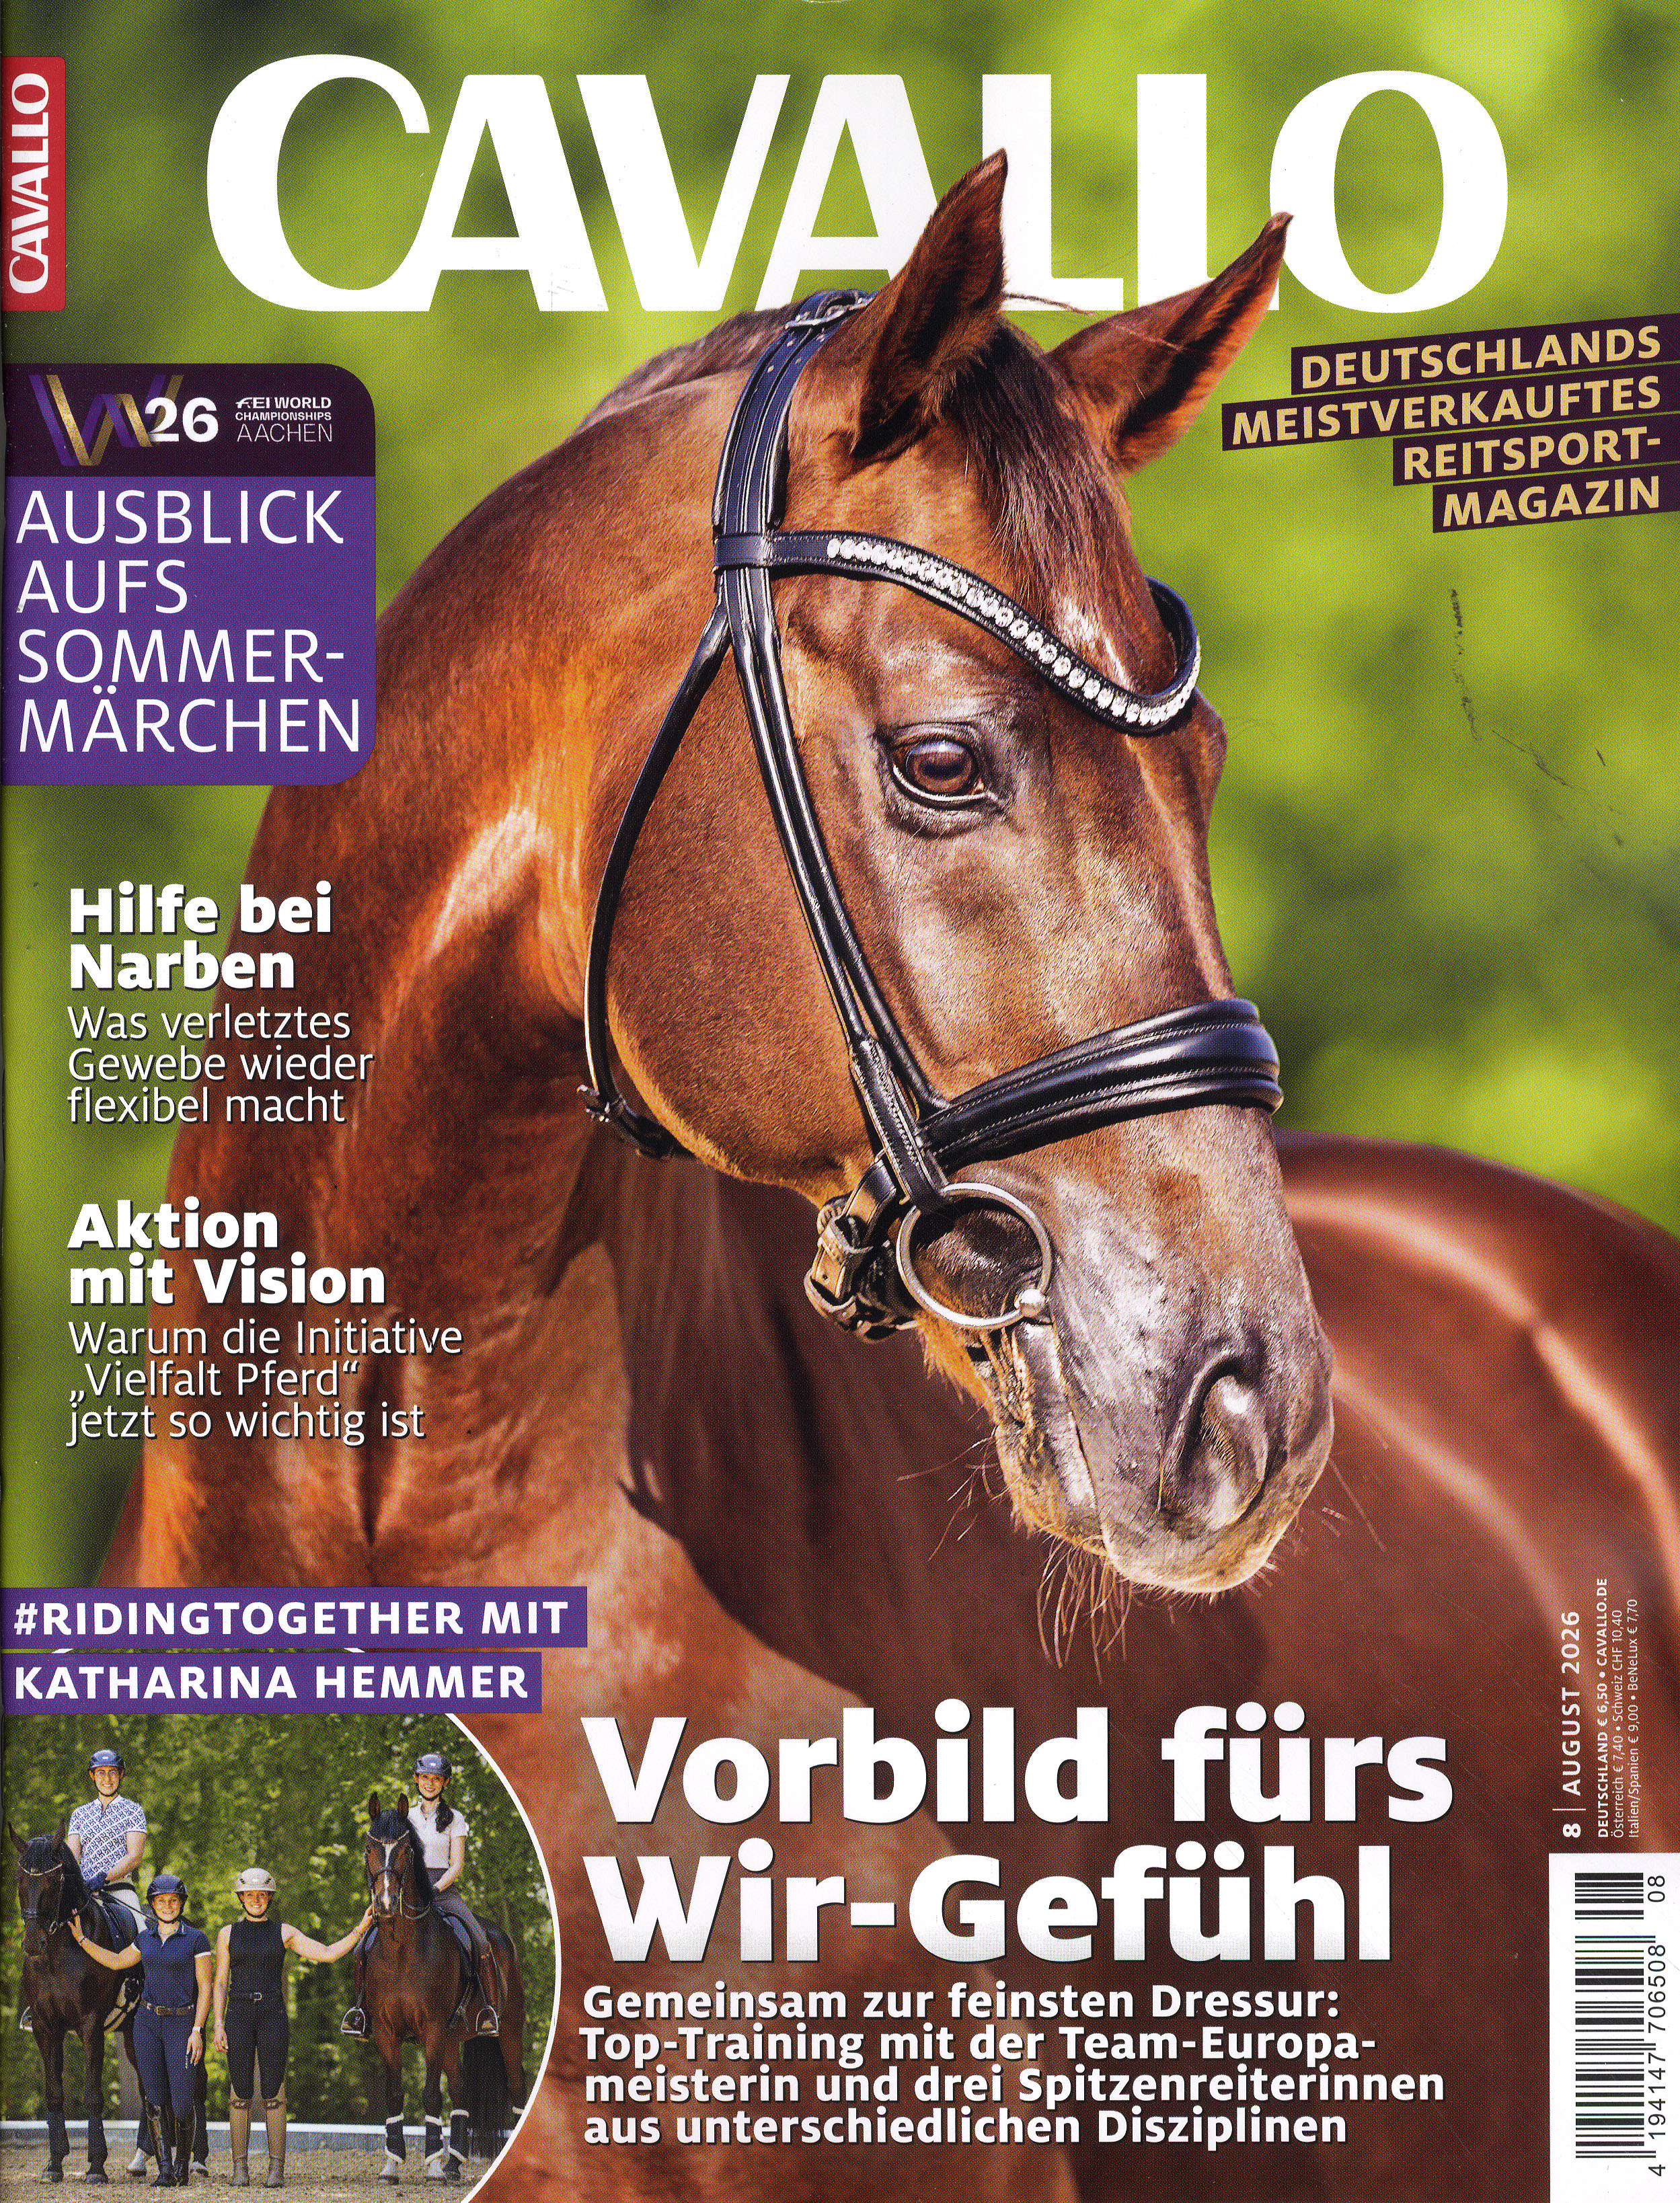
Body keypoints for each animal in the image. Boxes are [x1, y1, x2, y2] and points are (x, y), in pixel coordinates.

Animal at [9, 1822, 143, 2186]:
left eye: (54, 1879)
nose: (33, 1943)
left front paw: (96, 2166)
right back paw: (143, 2160)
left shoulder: (90, 2025)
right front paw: (54, 2164)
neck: (58, 1953)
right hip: (131, 2035)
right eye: (20, 1878)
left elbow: (93, 2093)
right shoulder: (45, 2027)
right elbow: (54, 2092)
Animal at [360, 1796, 527, 2182]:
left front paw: (432, 2163)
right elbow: (395, 2095)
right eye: (370, 1847)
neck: (401, 1948)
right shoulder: (385, 2031)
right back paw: (453, 2165)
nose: (385, 1904)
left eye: (405, 1849)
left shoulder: (433, 2029)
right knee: (462, 2095)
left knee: (516, 2087)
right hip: (453, 2040)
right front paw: (393, 2163)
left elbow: (431, 2095)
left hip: (507, 2031)